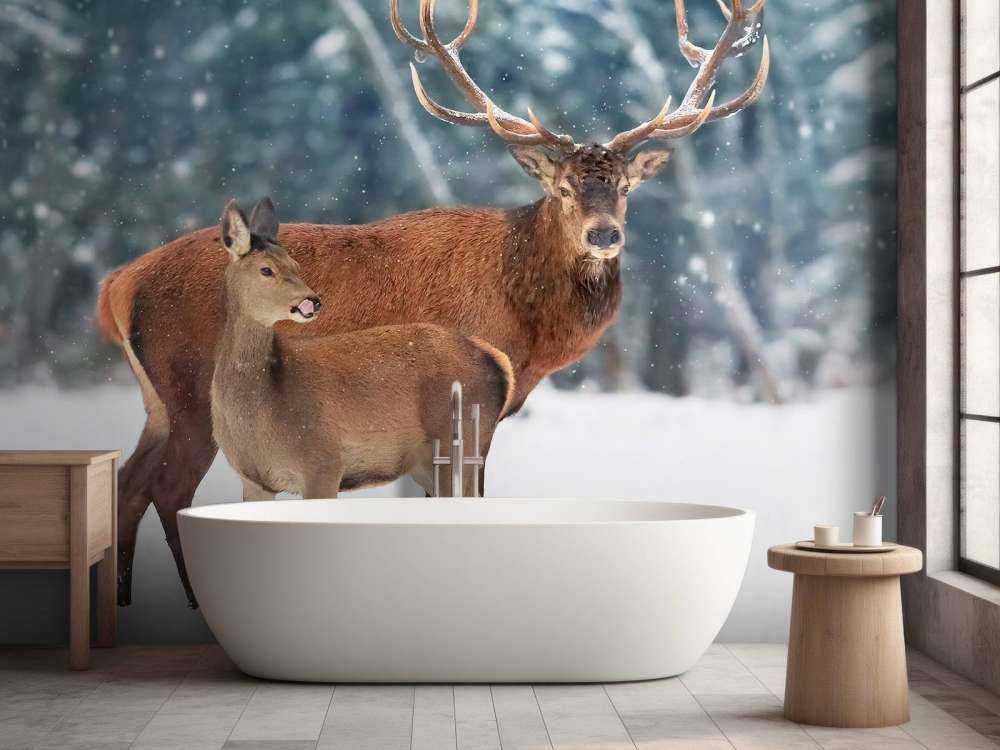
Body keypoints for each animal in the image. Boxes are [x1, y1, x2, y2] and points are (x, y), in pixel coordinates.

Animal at [212, 196, 513, 499]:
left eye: (295, 265)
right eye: (266, 269)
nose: (312, 302)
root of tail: (499, 362)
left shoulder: (324, 460)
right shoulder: (253, 479)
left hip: (459, 444)